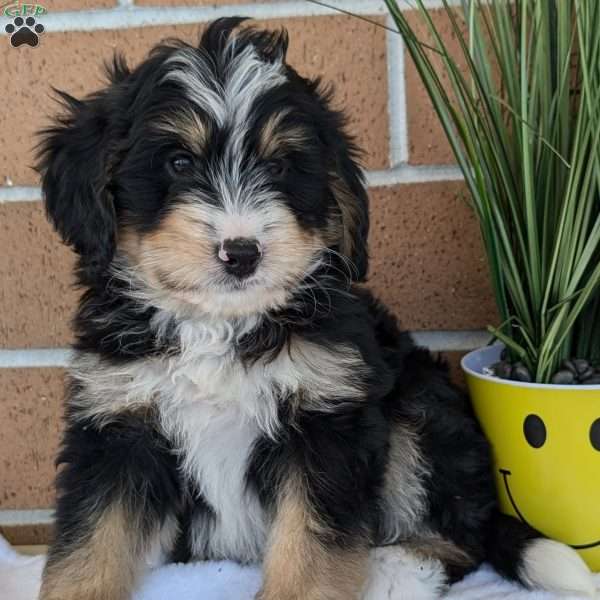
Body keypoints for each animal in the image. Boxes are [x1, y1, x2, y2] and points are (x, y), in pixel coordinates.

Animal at [35, 18, 592, 600]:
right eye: (179, 162)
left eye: (280, 166)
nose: (242, 252)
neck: (219, 325)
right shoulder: (117, 424)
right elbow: (91, 542)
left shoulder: (326, 418)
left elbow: (310, 545)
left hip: (421, 411)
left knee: (458, 536)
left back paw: (395, 571)